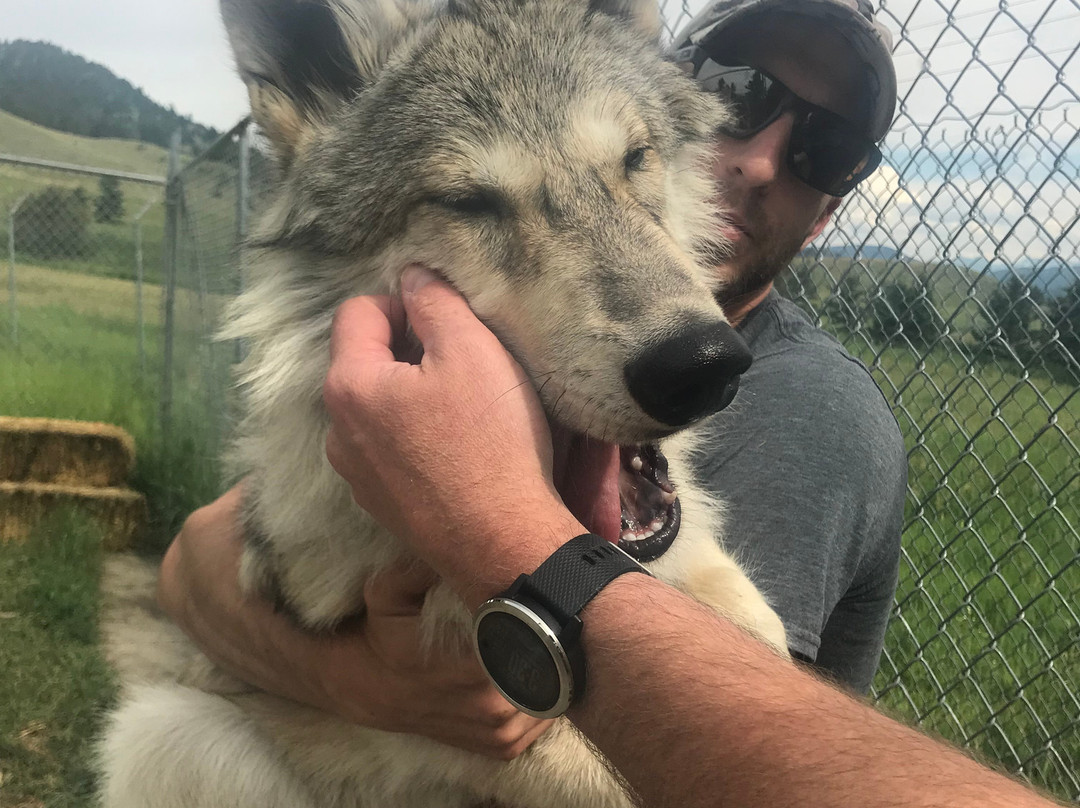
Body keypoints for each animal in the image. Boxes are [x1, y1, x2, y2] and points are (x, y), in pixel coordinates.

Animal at [99, 0, 789, 805]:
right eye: (469, 203)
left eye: (634, 159)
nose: (701, 366)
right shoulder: (402, 711)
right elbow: (588, 765)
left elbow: (762, 632)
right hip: (159, 727)